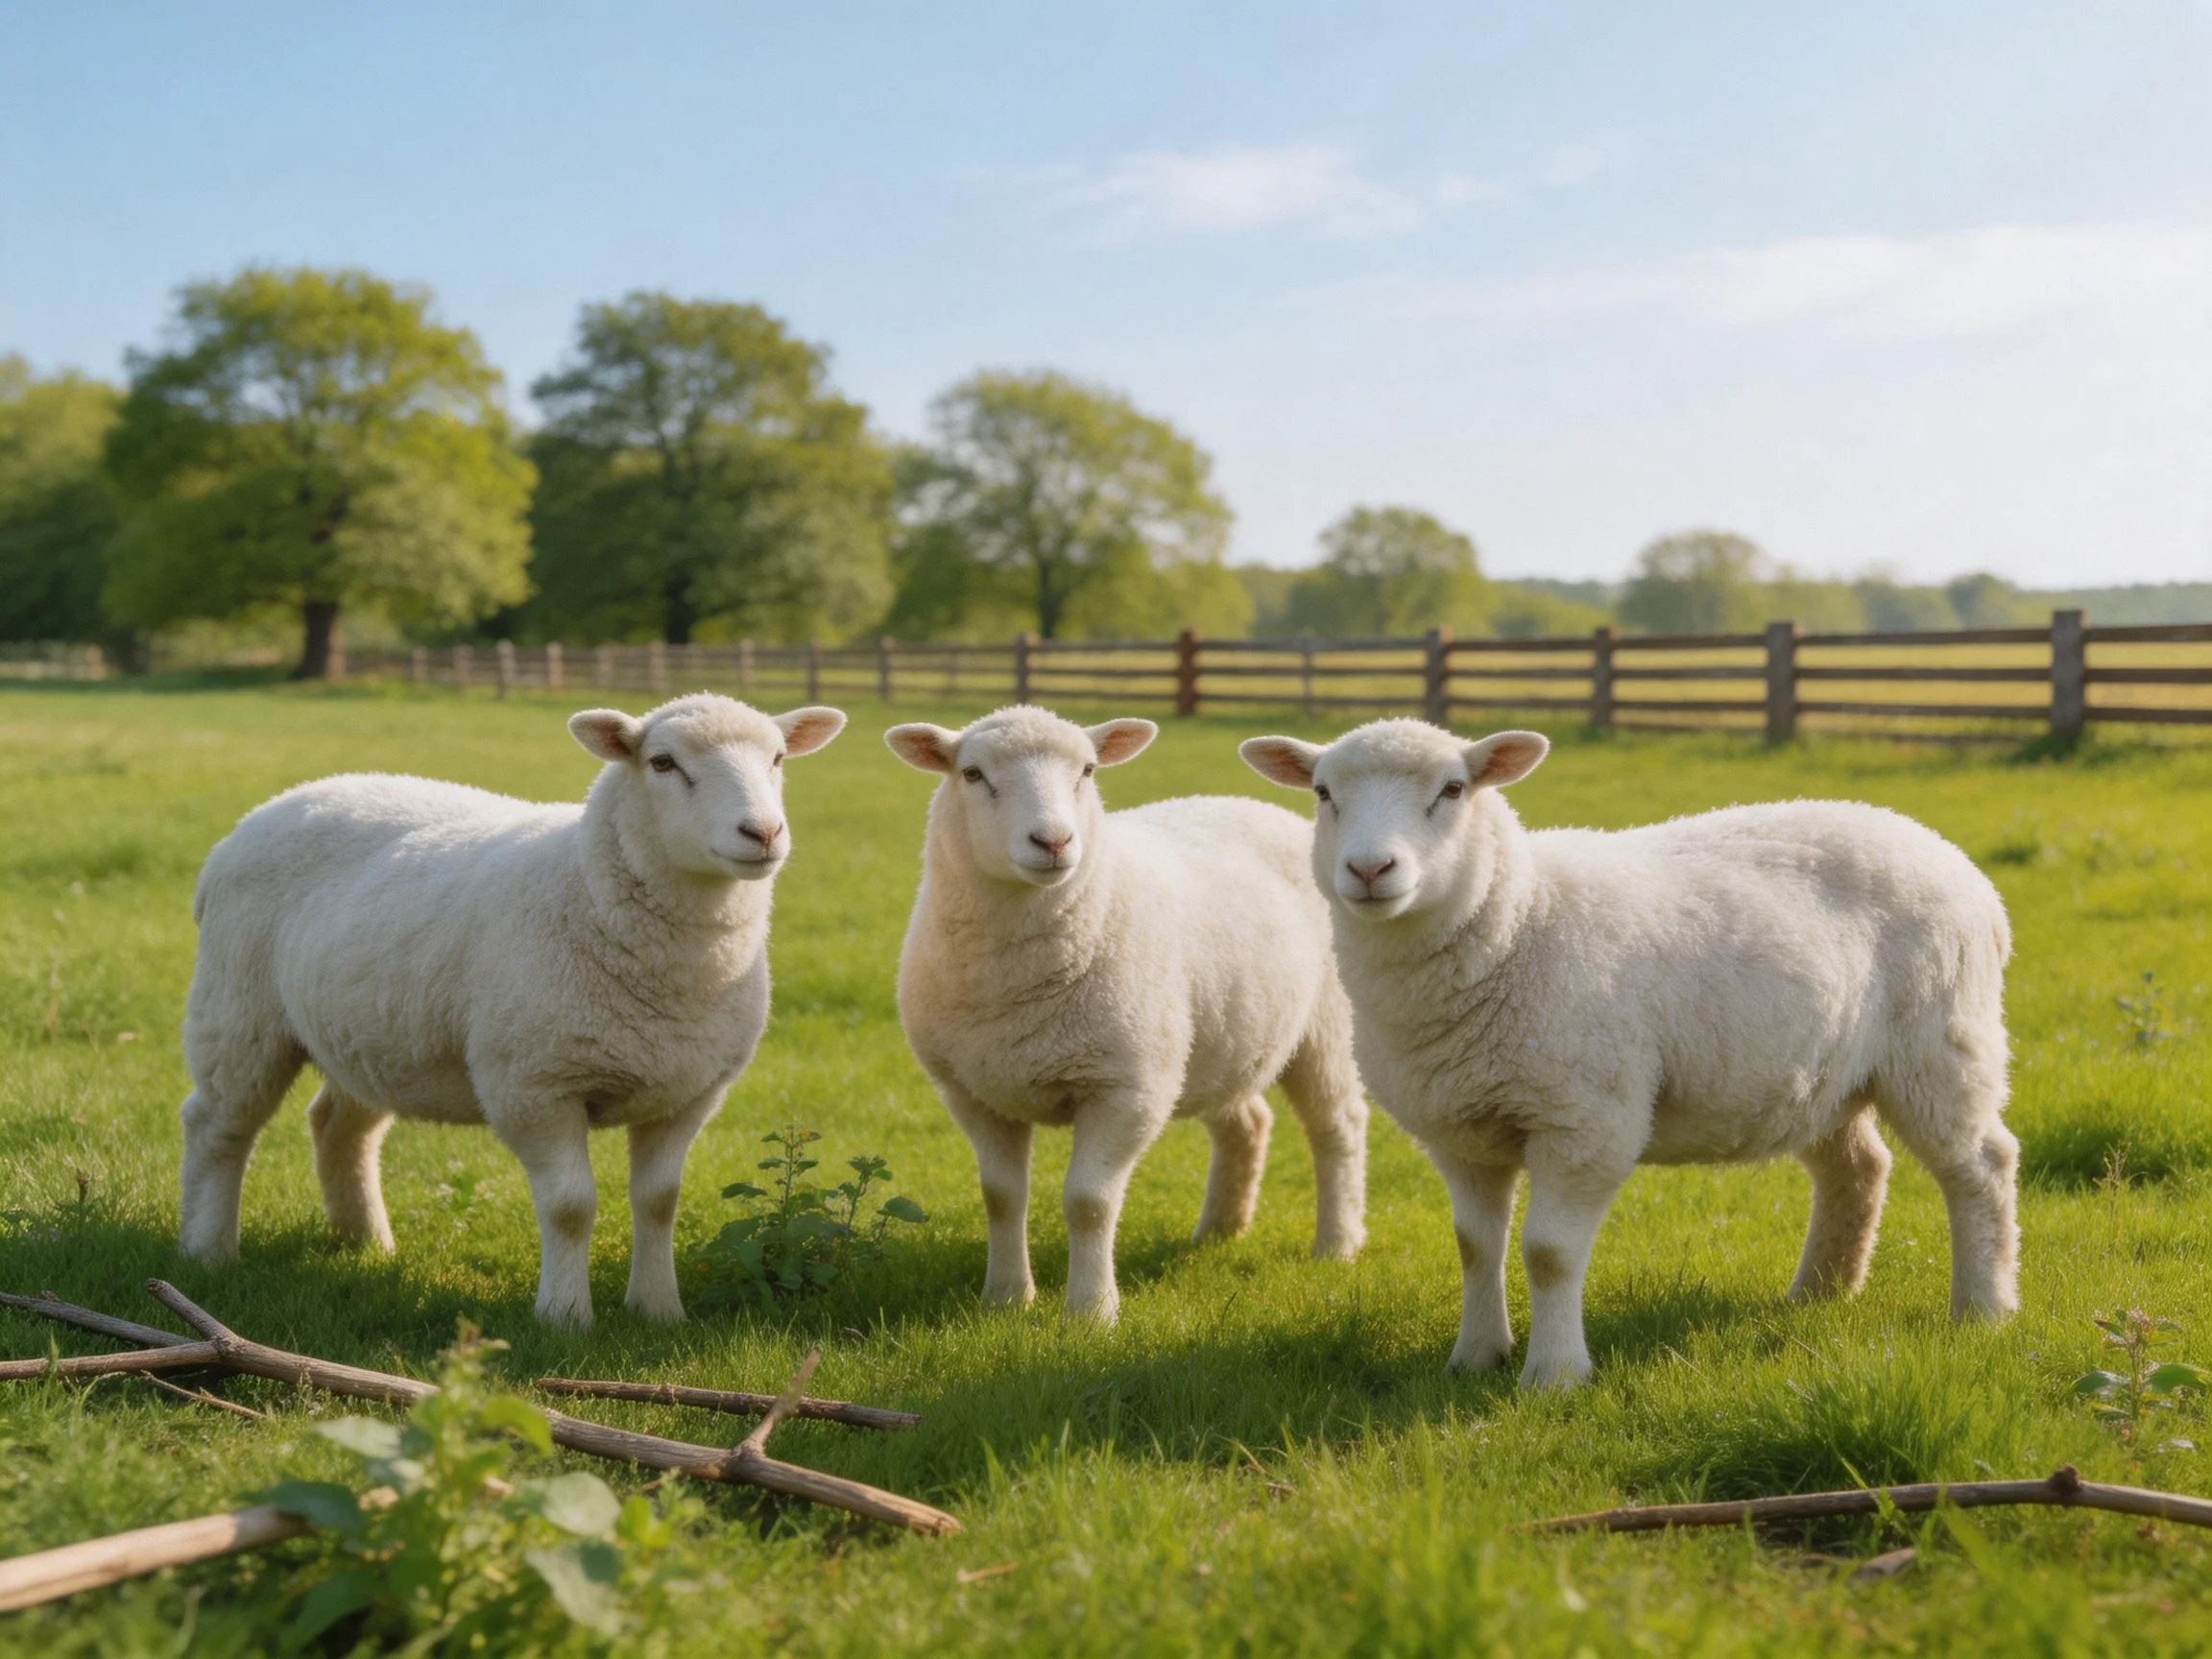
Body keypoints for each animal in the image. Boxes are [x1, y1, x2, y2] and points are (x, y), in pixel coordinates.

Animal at [176, 692, 847, 1329]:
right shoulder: (534, 1085)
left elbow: (660, 1201)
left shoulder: (688, 1093)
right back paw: (207, 1250)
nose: (763, 833)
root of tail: (257, 818)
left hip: (368, 1033)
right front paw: (565, 1317)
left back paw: (365, 1243)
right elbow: (571, 1207)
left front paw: (658, 1310)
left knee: (339, 1126)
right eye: (662, 762)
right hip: (239, 1011)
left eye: (778, 759)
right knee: (217, 1124)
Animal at [886, 705, 1369, 1324]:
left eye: (1088, 770)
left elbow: (1088, 1202)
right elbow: (1001, 1198)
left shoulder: (1127, 1087)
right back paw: (1218, 1231)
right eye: (972, 774)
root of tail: (1256, 804)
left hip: (1326, 1024)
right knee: (1247, 1122)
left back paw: (1337, 1245)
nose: (1053, 840)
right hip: (1218, 1039)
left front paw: (1090, 1313)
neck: (1019, 981)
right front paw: (1005, 1299)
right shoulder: (972, 1092)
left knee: (1338, 1126)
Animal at [1240, 720, 2017, 1389]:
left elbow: (1548, 1254)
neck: (1517, 921)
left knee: (1981, 1167)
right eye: (1323, 793)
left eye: (1453, 789)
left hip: (1941, 1045)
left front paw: (1554, 1376)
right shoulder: (1459, 1130)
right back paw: (1818, 1294)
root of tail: (1950, 857)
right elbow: (1474, 1245)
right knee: (1858, 1169)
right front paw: (1475, 1356)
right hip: (1817, 1075)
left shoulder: (1586, 1121)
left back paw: (1984, 1309)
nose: (1371, 868)